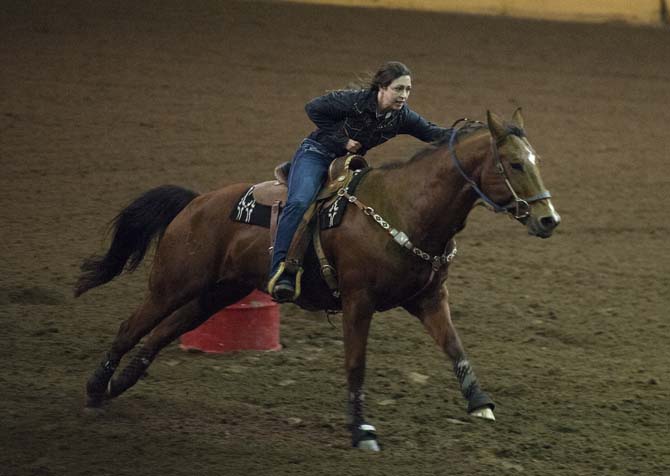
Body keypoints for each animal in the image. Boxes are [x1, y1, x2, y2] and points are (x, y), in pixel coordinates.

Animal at [77, 110, 560, 450]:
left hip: (215, 294)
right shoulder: (358, 301)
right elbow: (356, 364)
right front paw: (361, 430)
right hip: (173, 284)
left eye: (536, 160)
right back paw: (96, 389)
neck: (407, 208)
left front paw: (480, 404)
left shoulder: (429, 298)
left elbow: (455, 347)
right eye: (514, 164)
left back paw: (119, 384)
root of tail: (195, 203)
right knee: (131, 326)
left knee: (160, 334)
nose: (548, 219)